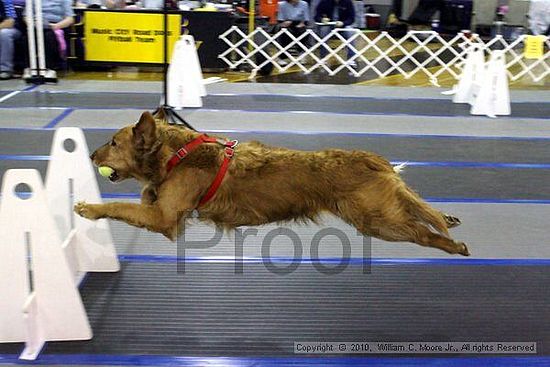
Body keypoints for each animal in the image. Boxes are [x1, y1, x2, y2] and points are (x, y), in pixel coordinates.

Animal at [73, 110, 470, 258]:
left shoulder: (165, 218)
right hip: (381, 210)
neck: (176, 153)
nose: (90, 155)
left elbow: (120, 206)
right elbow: (141, 196)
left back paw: (452, 244)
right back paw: (448, 220)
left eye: (113, 142)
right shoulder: (162, 209)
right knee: (420, 208)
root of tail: (371, 158)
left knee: (421, 230)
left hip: (375, 219)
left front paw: (88, 207)